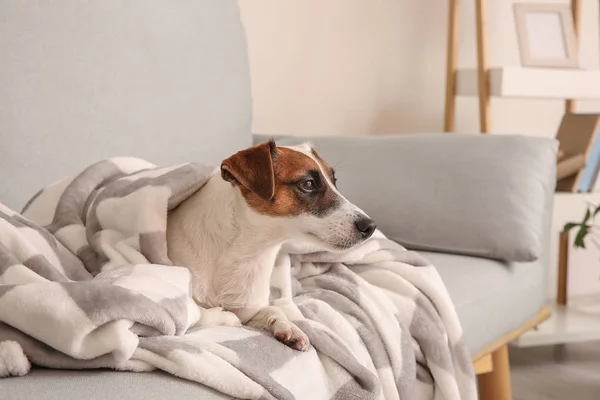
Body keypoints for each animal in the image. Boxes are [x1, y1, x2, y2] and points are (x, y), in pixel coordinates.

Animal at [166, 140, 378, 350]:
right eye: (308, 184)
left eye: (335, 181)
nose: (370, 226)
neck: (246, 250)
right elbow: (196, 312)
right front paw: (226, 317)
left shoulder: (249, 309)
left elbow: (272, 309)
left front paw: (288, 327)